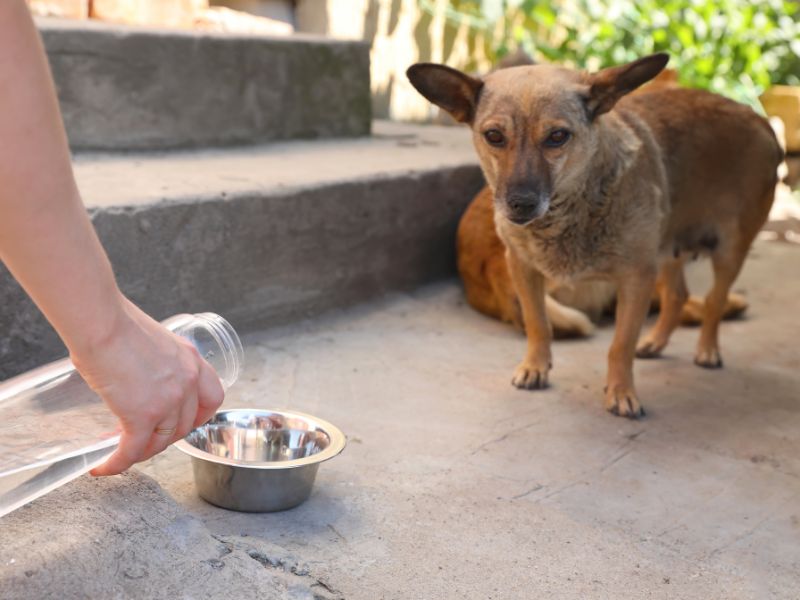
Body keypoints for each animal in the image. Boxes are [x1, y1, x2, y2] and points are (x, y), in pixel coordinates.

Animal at [410, 52, 784, 418]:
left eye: (557, 136)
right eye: (494, 136)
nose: (520, 204)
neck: (572, 210)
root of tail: (757, 118)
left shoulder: (637, 278)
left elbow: (620, 345)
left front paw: (621, 392)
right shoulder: (523, 269)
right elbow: (537, 323)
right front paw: (535, 367)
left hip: (727, 252)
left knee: (713, 300)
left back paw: (707, 349)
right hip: (667, 249)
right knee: (678, 295)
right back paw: (656, 342)